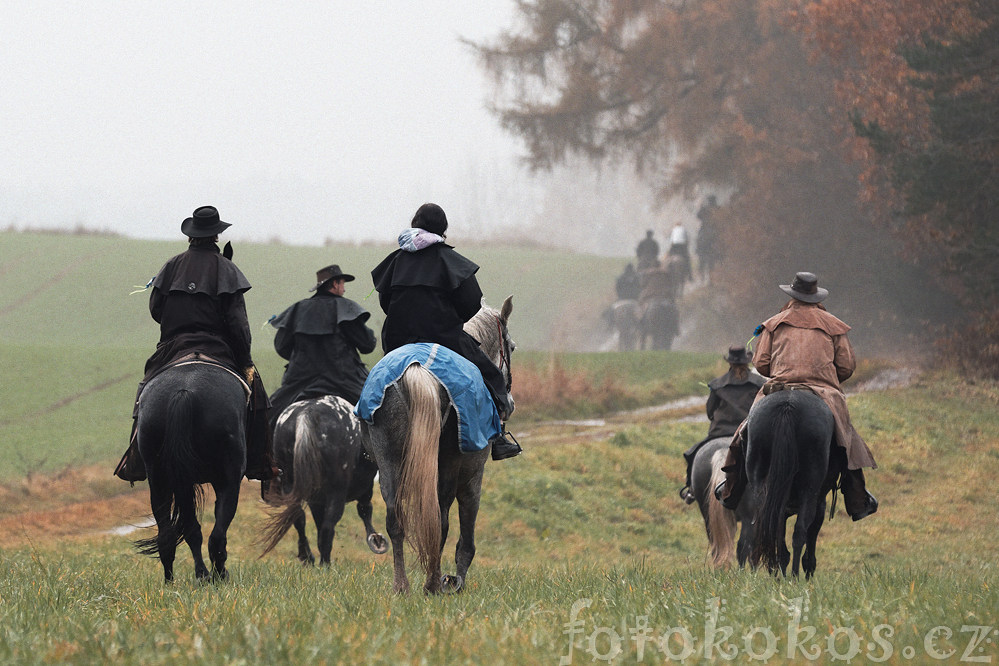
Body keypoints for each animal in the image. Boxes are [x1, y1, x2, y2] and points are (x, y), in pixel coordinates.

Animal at [135, 358, 250, 580]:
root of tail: (184, 392)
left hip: (160, 480)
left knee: (172, 534)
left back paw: (177, 580)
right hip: (228, 479)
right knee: (217, 536)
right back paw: (217, 575)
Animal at [260, 396, 388, 564]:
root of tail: (306, 415)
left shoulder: (316, 500)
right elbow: (364, 509)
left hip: (292, 485)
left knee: (299, 517)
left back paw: (307, 556)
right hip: (336, 491)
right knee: (328, 527)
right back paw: (326, 564)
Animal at [362, 296, 516, 592]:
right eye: (511, 347)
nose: (510, 403)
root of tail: (417, 369)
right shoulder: (472, 474)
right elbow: (465, 534)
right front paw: (457, 581)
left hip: (388, 461)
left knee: (395, 519)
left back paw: (402, 586)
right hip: (448, 462)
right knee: (440, 520)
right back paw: (434, 583)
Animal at [748, 390, 840, 576]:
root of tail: (788, 406)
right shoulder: (819, 504)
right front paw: (807, 568)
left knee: (762, 527)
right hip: (810, 492)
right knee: (799, 532)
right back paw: (795, 575)